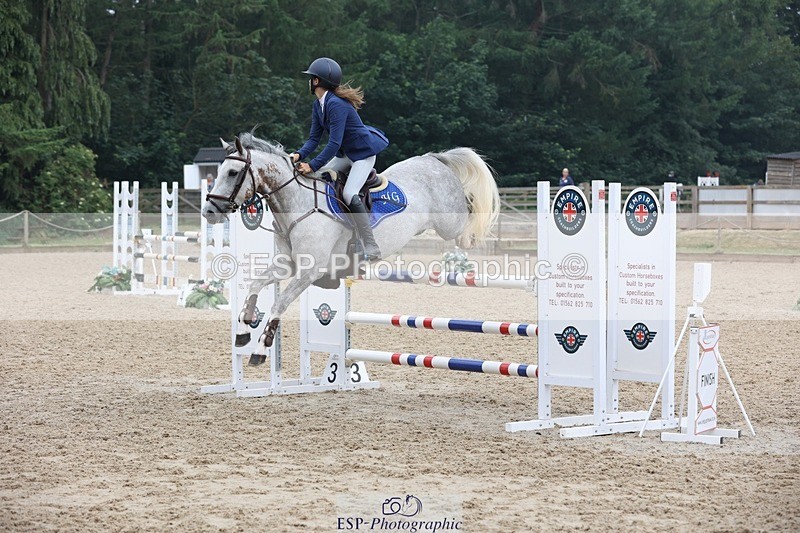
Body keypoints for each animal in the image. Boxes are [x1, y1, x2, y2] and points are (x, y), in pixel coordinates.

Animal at [202, 132, 499, 364]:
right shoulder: (286, 265)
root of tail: (435, 158)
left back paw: (479, 232)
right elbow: (254, 285)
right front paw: (243, 333)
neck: (297, 204)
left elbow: (279, 304)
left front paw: (261, 350)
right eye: (218, 172)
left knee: (468, 216)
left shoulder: (308, 272)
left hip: (450, 224)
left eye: (232, 173)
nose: (209, 212)